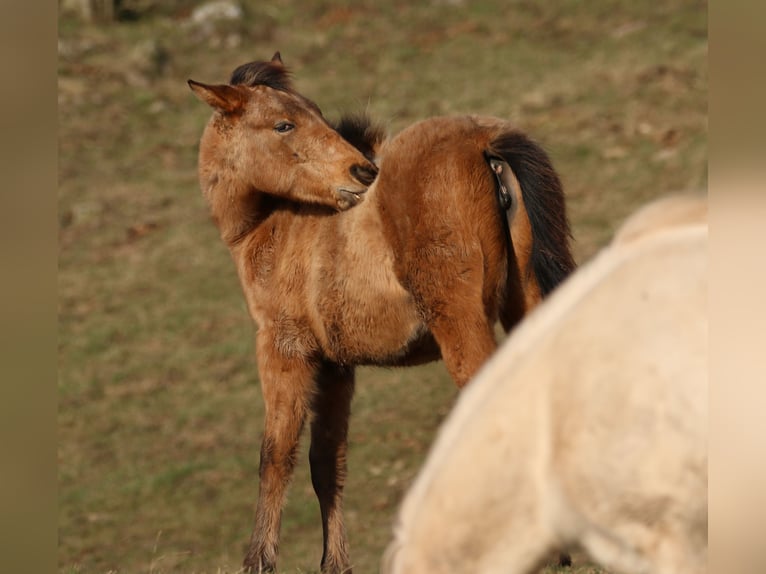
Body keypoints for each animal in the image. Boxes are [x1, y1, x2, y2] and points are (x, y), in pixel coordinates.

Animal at [190, 51, 576, 572]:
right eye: (284, 124)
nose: (360, 172)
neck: (279, 225)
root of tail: (482, 141)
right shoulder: (335, 367)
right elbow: (327, 461)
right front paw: (334, 563)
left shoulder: (283, 348)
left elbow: (276, 455)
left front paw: (259, 561)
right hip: (526, 305)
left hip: (461, 323)